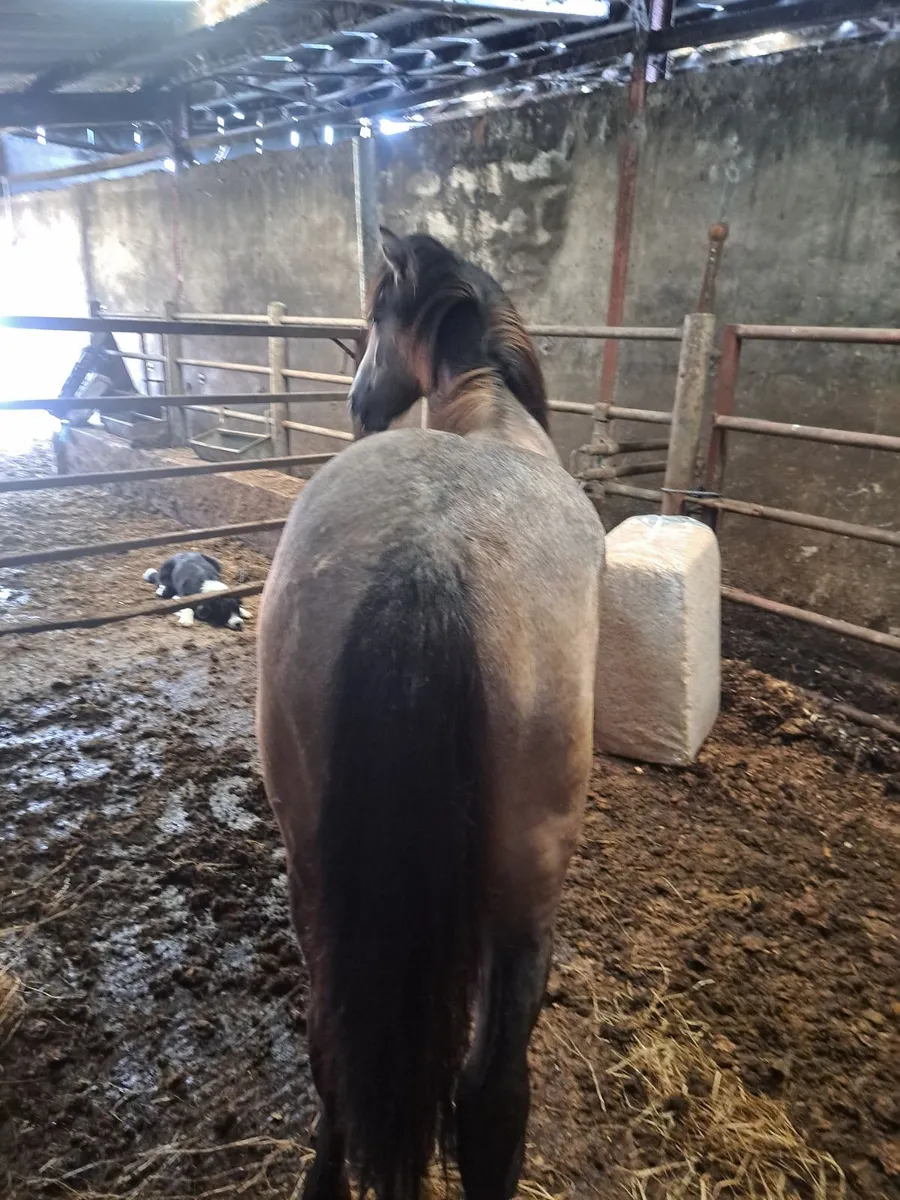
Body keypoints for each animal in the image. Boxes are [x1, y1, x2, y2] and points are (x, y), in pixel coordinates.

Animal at [256, 229, 605, 1200]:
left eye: (375, 317)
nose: (358, 402)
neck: (488, 419)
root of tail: (428, 558)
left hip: (318, 865)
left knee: (333, 1043)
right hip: (525, 890)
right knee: (491, 1092)